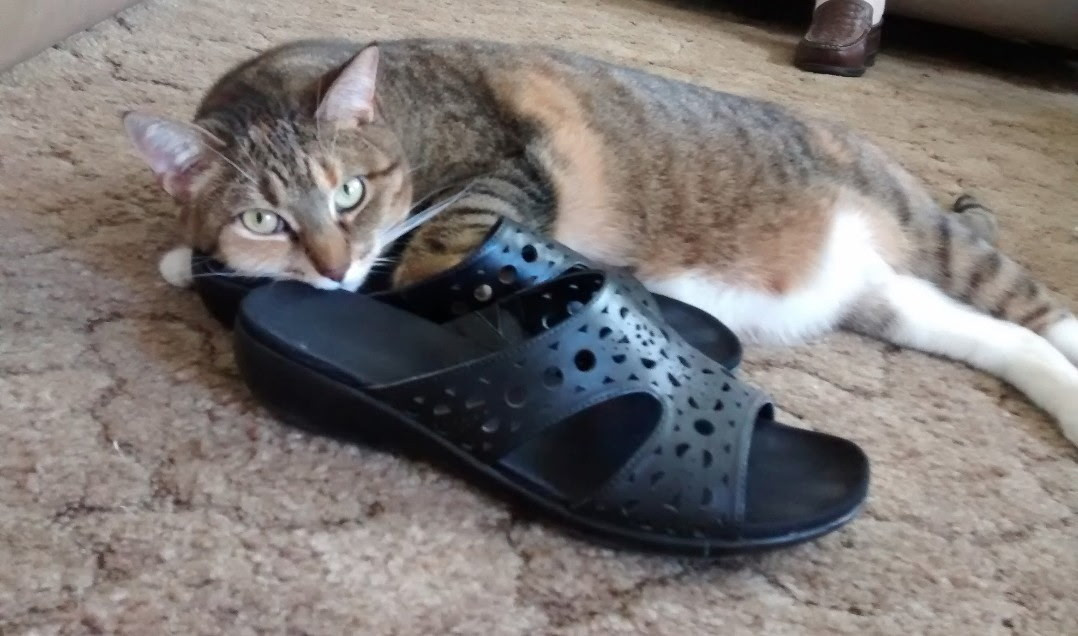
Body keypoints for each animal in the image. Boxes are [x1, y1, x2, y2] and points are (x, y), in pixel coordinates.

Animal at [123, 38, 1078, 446]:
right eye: (263, 219)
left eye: (348, 193)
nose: (330, 265)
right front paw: (188, 258)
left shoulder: (502, 175)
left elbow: (437, 250)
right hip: (895, 302)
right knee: (1005, 340)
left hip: (930, 234)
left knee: (1040, 311)